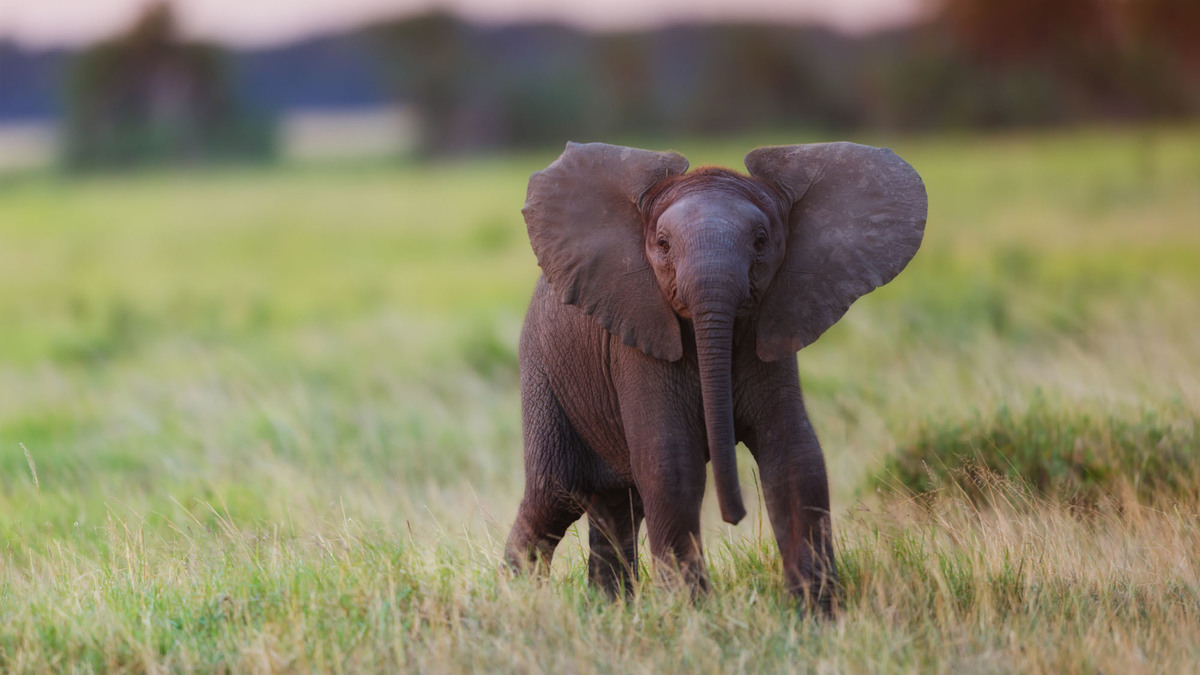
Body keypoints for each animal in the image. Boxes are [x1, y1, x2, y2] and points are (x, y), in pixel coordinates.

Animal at [504, 141, 926, 613]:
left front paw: (816, 614)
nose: (735, 517)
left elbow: (796, 457)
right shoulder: (638, 338)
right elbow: (671, 463)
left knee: (617, 507)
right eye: (663, 244)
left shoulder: (773, 325)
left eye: (761, 243)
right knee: (554, 497)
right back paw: (517, 597)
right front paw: (694, 615)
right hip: (543, 375)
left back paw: (610, 609)